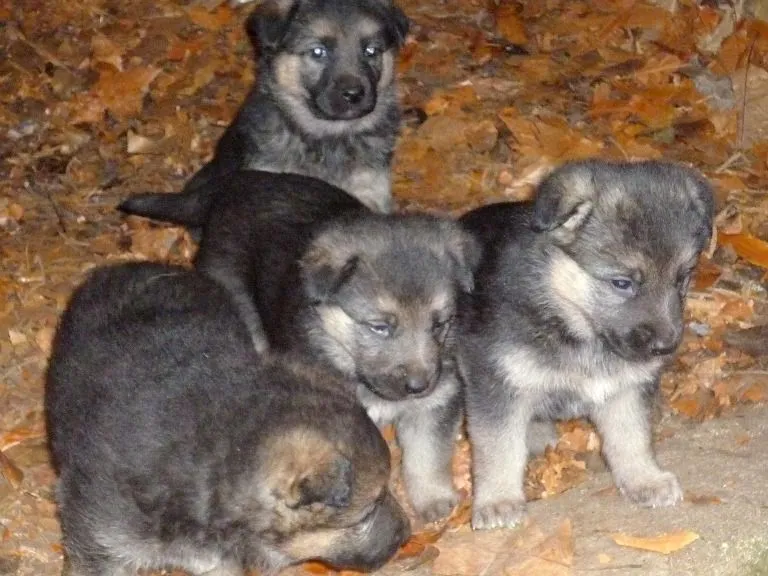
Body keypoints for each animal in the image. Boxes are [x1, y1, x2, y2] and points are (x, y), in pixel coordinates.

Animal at [192, 170, 480, 520]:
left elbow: (427, 454)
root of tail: (245, 180)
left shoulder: (436, 401)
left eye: (439, 324)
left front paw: (433, 499)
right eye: (380, 327)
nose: (419, 386)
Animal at [456, 160, 712, 528]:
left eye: (682, 277)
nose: (666, 347)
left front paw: (644, 478)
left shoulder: (627, 388)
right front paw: (498, 500)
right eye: (621, 283)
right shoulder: (494, 382)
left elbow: (631, 436)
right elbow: (498, 447)